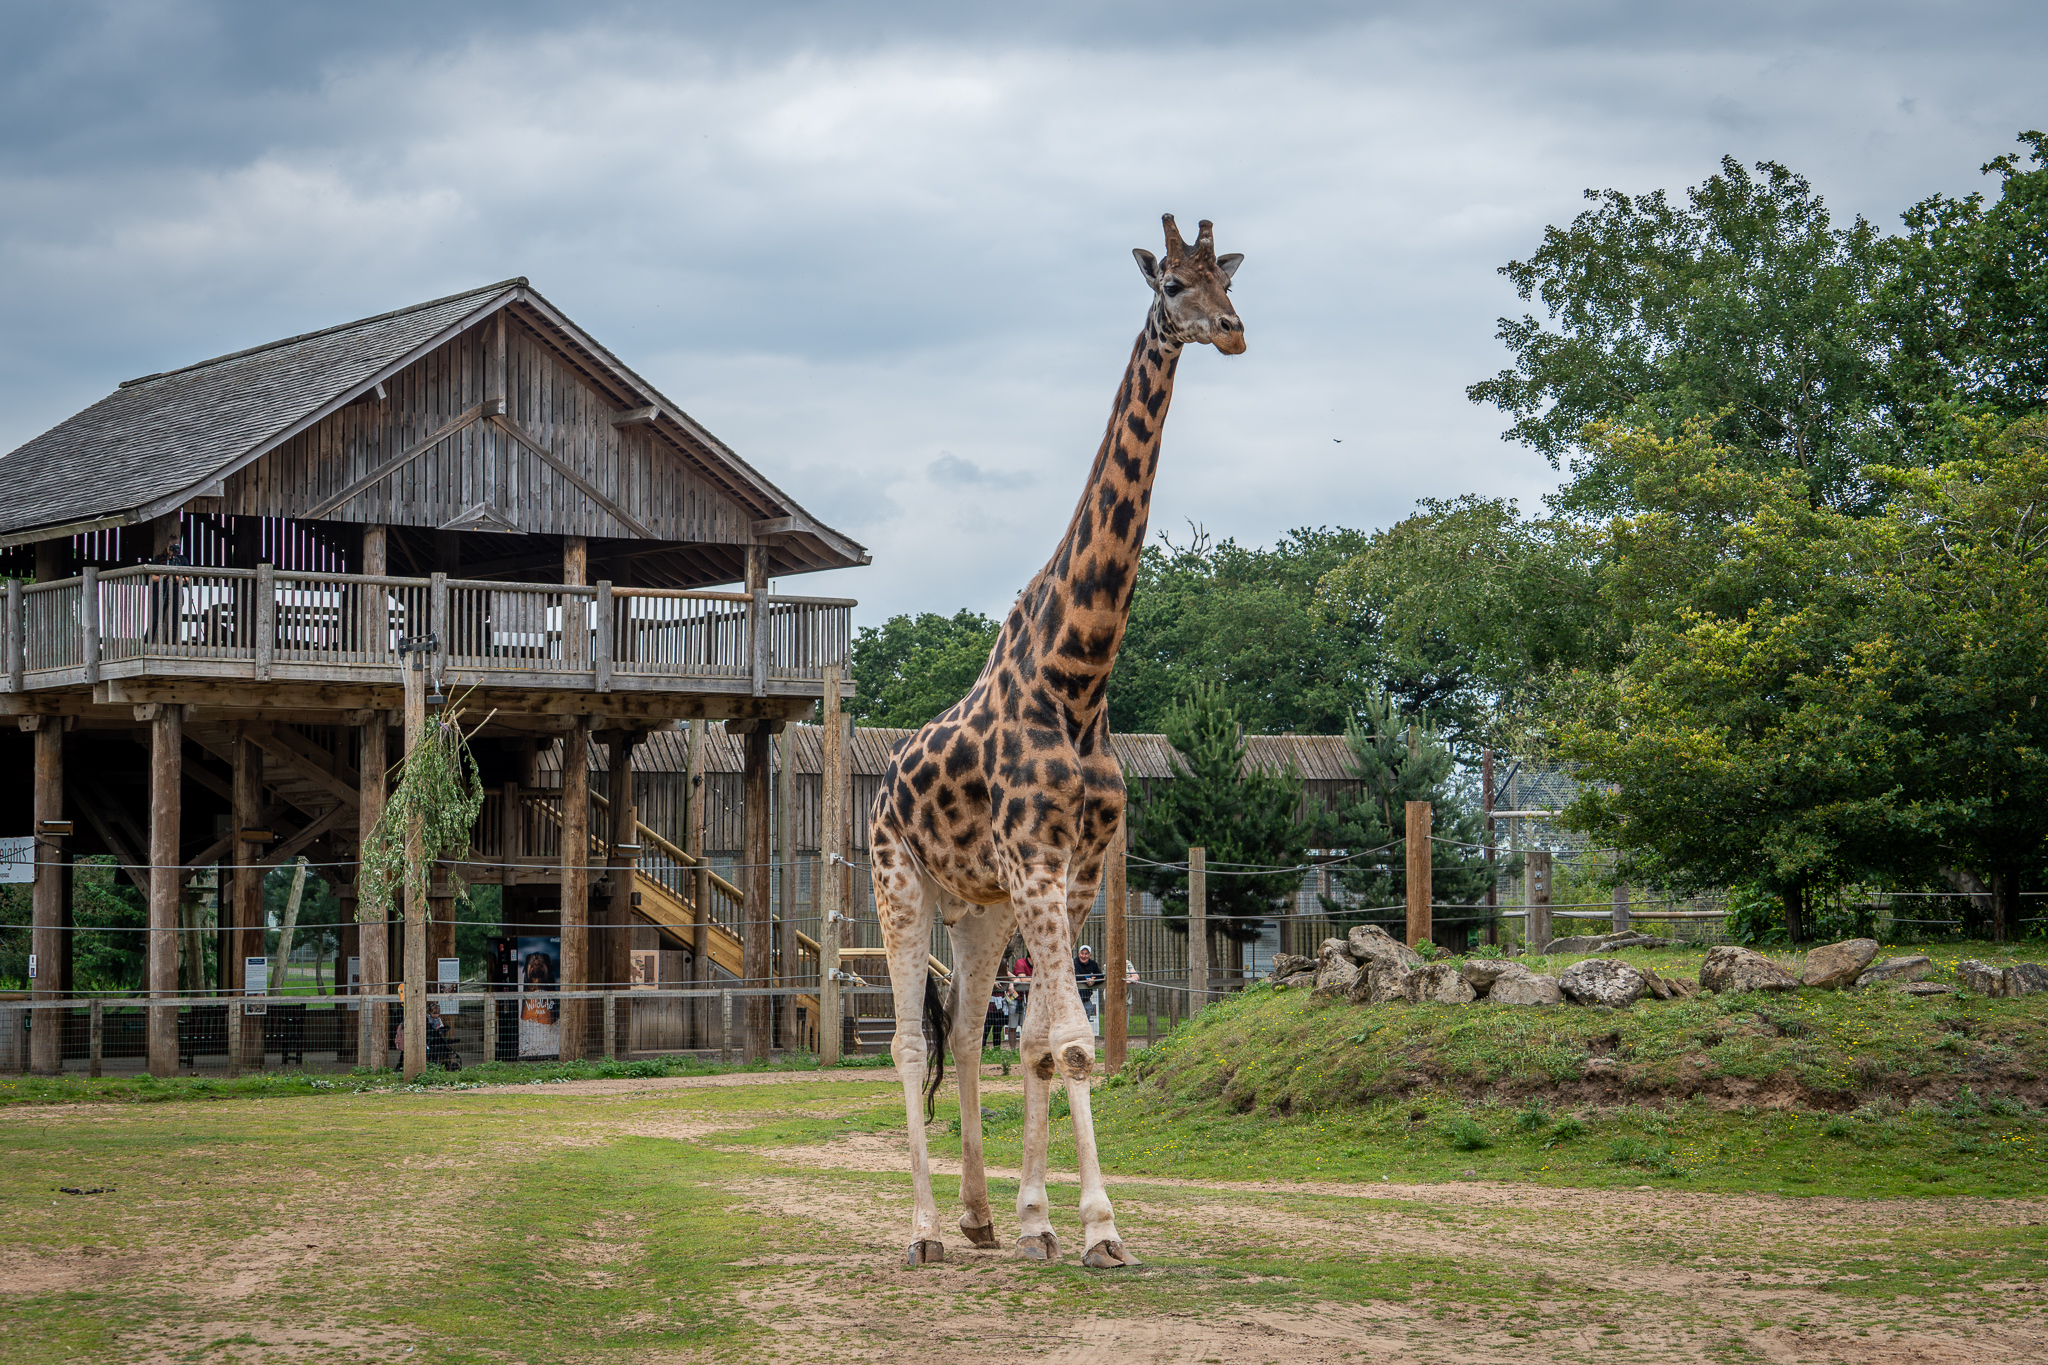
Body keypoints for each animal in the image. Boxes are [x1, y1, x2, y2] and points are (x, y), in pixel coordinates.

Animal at [869, 215, 1245, 1269]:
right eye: (1170, 284)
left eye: (1229, 277)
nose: (1233, 331)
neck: (1078, 680)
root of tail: (878, 783)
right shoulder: (1037, 858)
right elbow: (1075, 1043)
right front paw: (1100, 1229)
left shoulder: (1072, 870)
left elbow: (1039, 1044)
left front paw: (1039, 1218)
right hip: (898, 881)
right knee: (906, 1041)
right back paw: (921, 1232)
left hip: (978, 908)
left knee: (964, 1035)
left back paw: (977, 1217)